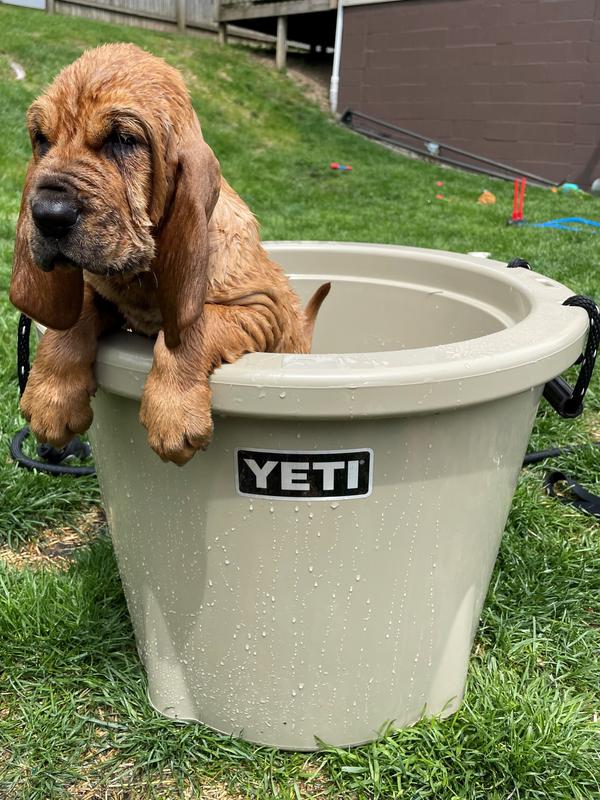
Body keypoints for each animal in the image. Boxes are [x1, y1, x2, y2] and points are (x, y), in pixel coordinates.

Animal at [9, 43, 330, 466]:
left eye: (123, 139)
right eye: (41, 139)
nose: (47, 215)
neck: (142, 276)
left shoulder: (261, 310)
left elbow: (194, 325)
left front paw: (173, 412)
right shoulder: (105, 296)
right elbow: (77, 315)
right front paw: (51, 397)